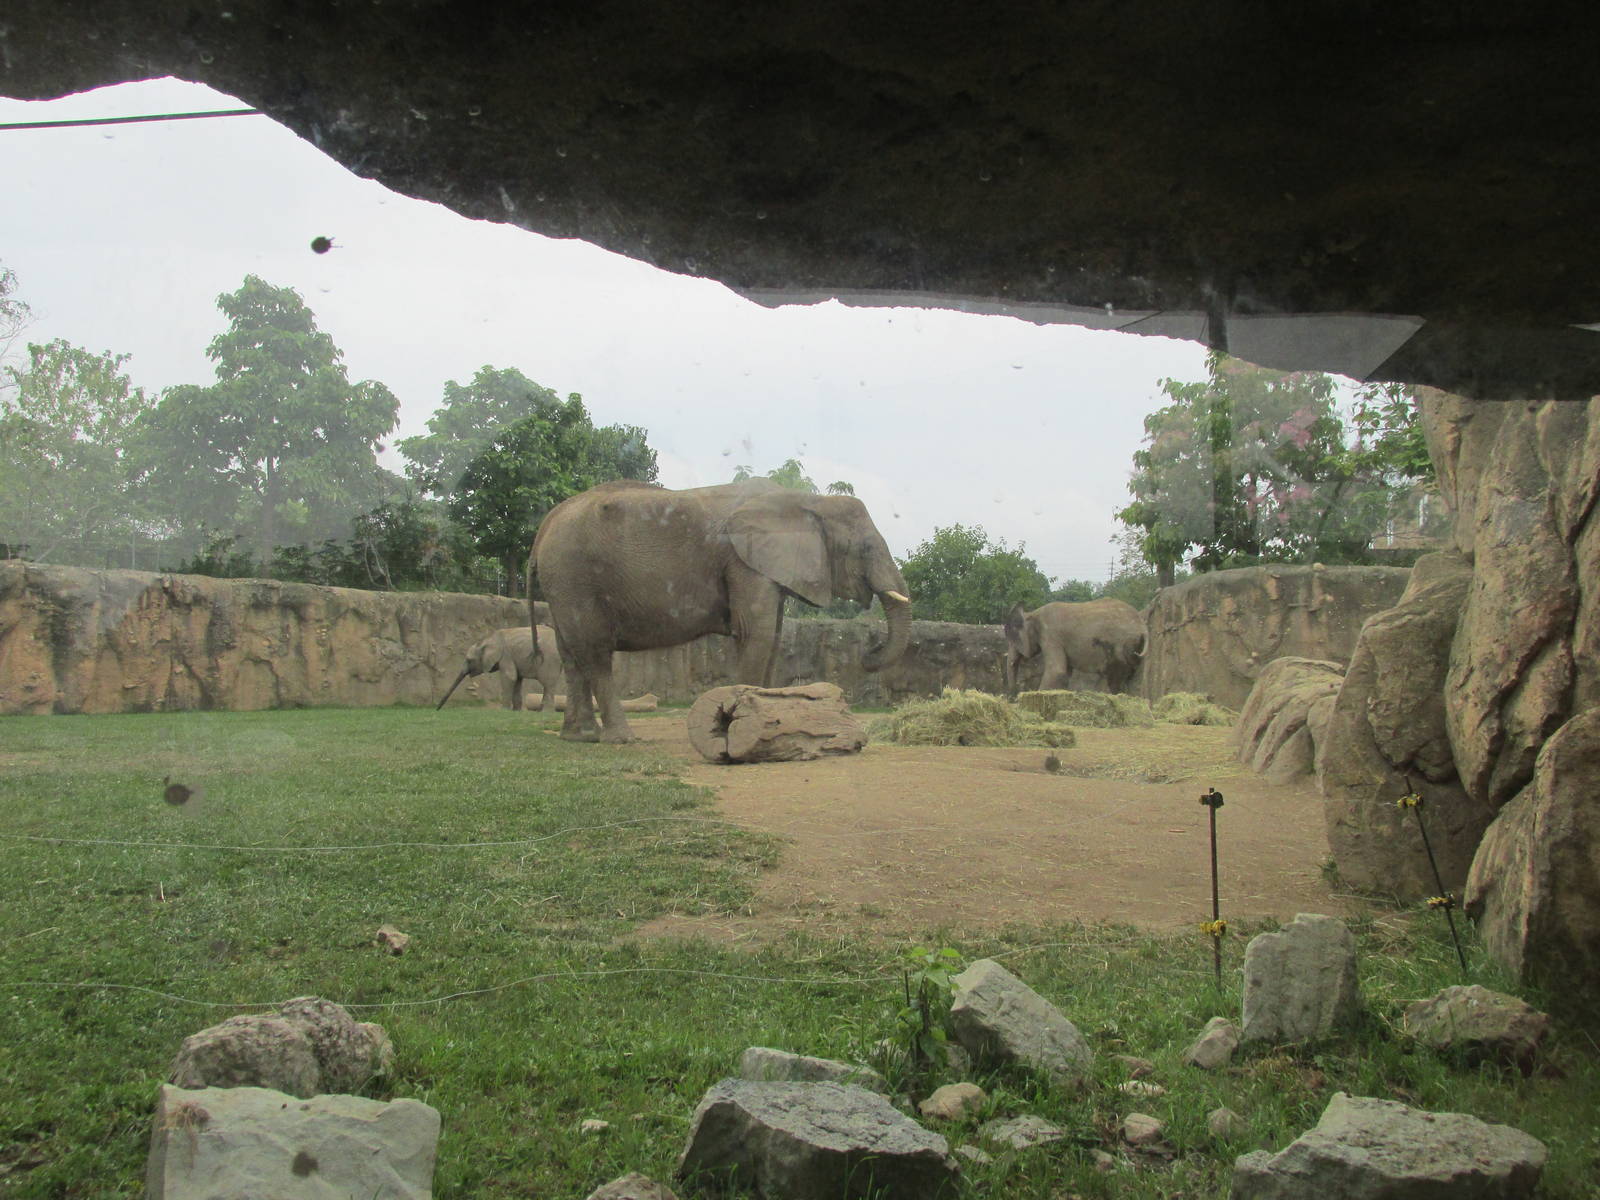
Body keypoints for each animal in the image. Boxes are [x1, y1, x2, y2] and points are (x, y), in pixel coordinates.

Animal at [530, 478, 913, 742]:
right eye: (865, 548)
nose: (867, 652)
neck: (807, 501)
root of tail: (544, 526)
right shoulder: (743, 561)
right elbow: (755, 634)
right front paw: (741, 725)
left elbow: (773, 638)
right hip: (574, 576)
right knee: (594, 651)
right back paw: (621, 740)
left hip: (563, 584)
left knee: (571, 654)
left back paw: (580, 737)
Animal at [1003, 598, 1148, 696]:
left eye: (1012, 642)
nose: (1013, 697)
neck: (1033, 613)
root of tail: (1142, 626)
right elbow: (1065, 673)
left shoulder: (1050, 634)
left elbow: (1056, 670)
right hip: (1133, 649)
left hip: (1120, 647)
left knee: (1112, 679)